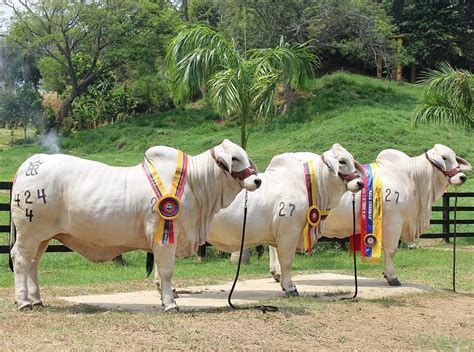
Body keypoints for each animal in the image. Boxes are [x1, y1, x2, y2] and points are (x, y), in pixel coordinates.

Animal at [9, 138, 262, 310]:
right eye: (235, 158)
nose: (257, 180)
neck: (195, 183)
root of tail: (30, 164)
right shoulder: (164, 238)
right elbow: (166, 271)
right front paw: (170, 304)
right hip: (29, 232)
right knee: (21, 260)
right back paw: (23, 302)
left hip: (43, 236)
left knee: (34, 263)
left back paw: (36, 300)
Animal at [206, 144, 362, 296]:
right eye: (342, 161)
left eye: (352, 160)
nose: (360, 183)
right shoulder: (289, 232)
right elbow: (286, 261)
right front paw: (290, 288)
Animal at [268, 143, 472, 286]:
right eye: (444, 157)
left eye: (455, 158)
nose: (462, 177)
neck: (413, 179)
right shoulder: (394, 223)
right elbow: (391, 250)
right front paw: (391, 277)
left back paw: (276, 273)